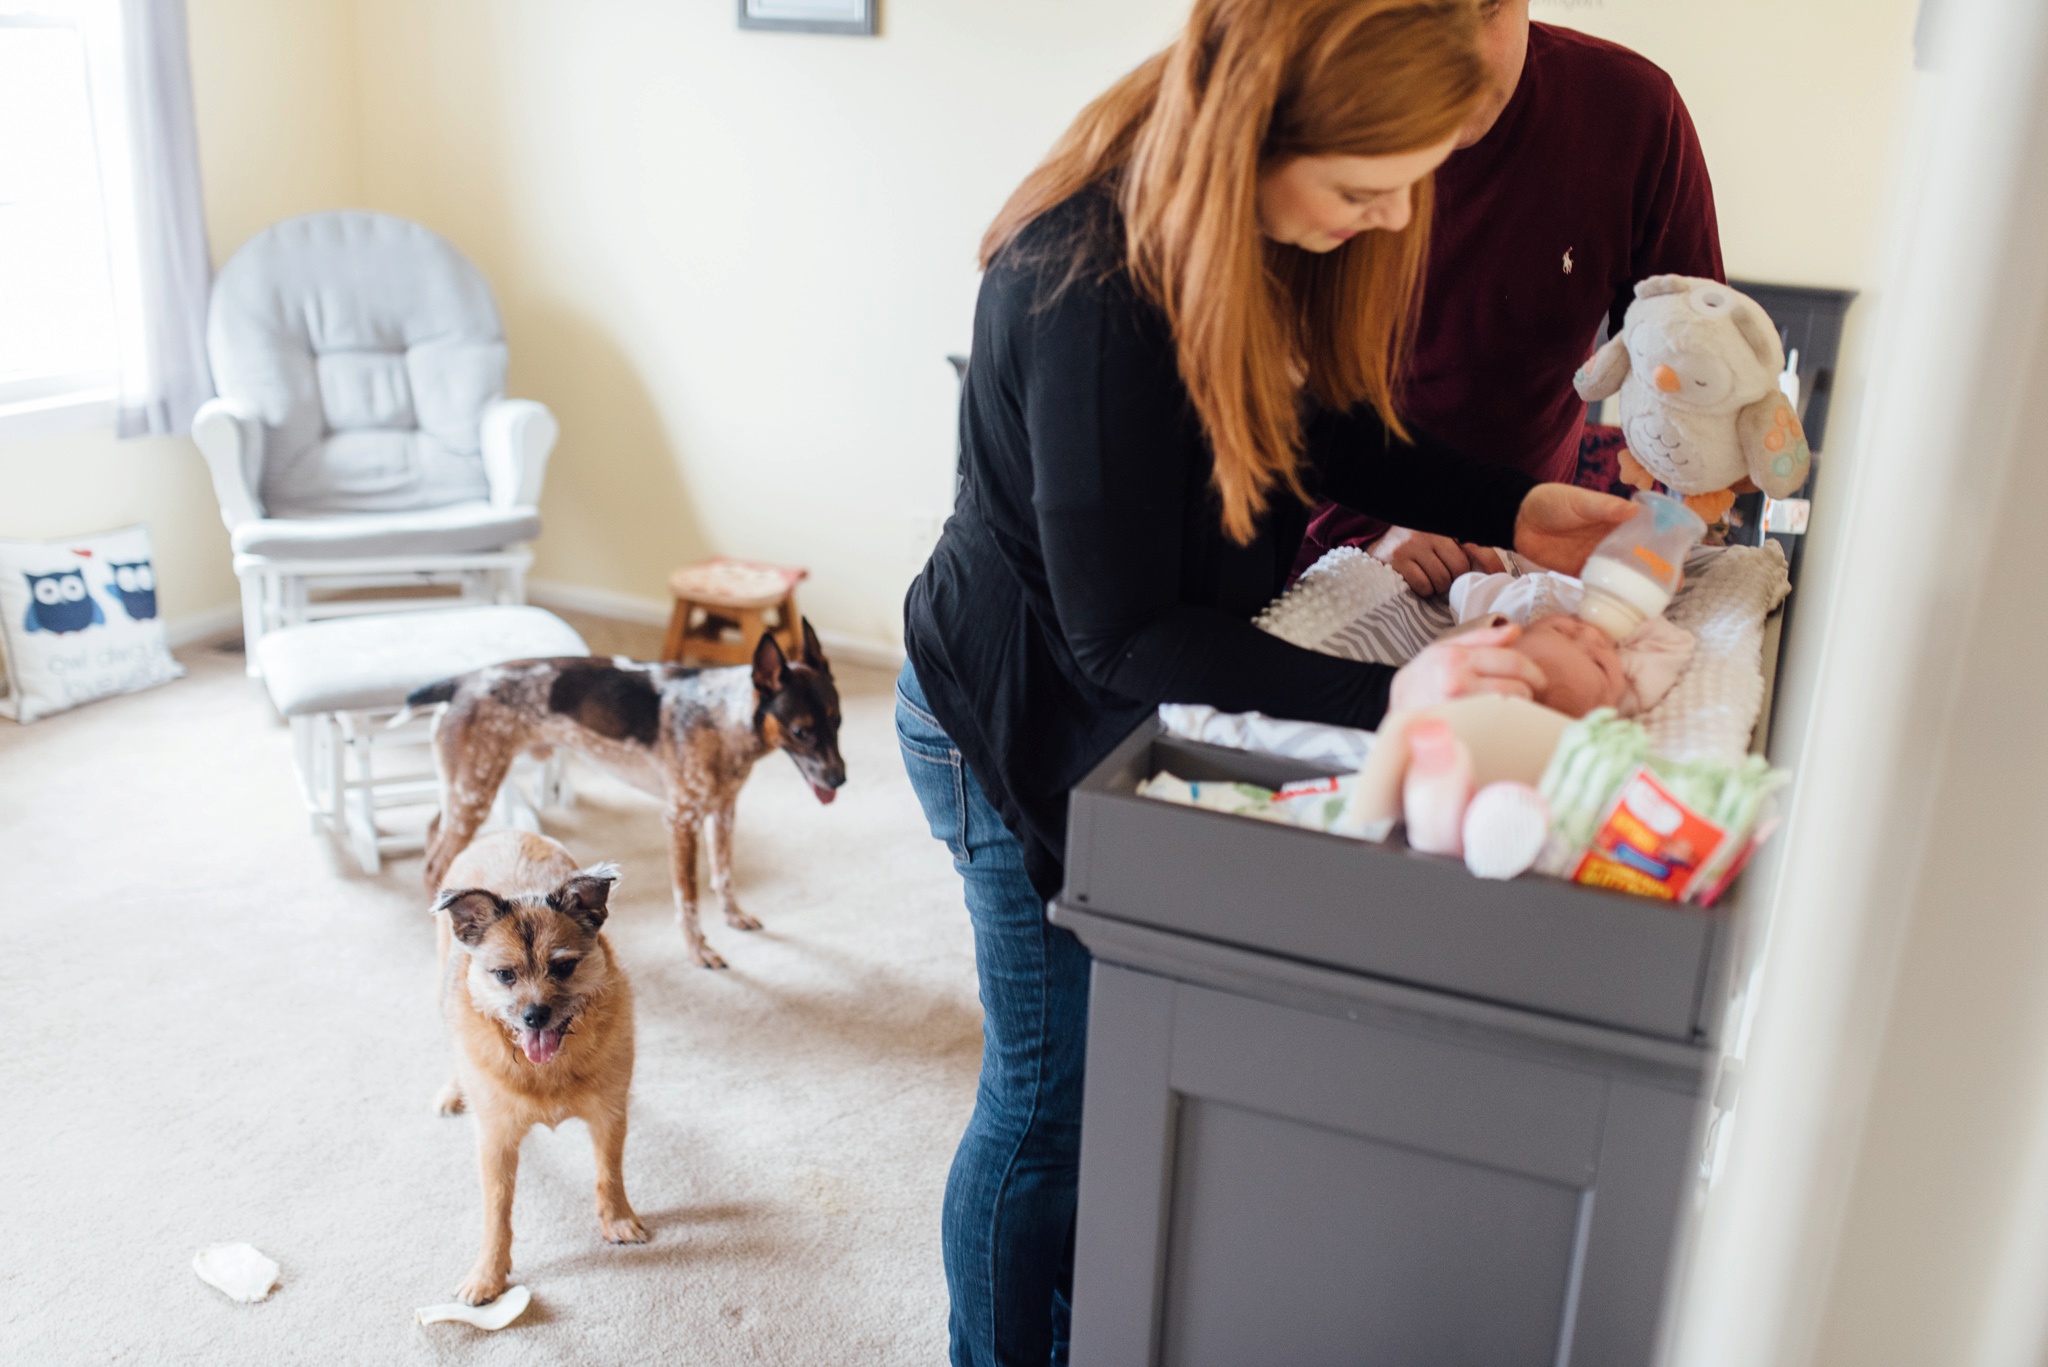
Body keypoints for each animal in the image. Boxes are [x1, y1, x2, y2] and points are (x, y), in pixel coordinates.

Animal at [411, 627, 843, 967]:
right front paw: (699, 951)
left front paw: (734, 916)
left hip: (467, 789)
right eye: (801, 731)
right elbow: (688, 899)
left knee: (432, 835)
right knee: (434, 864)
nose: (840, 778)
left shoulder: (724, 811)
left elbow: (724, 875)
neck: (724, 717)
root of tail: (462, 681)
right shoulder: (682, 820)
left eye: (838, 721)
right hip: (475, 792)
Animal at [432, 827, 647, 1311]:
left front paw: (618, 1220)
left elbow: (610, 1173)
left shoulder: (609, 1117)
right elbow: (497, 1210)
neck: (548, 1068)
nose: (534, 1016)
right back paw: (453, 1090)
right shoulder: (495, 1140)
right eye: (504, 975)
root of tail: (508, 830)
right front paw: (488, 1275)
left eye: (564, 966)